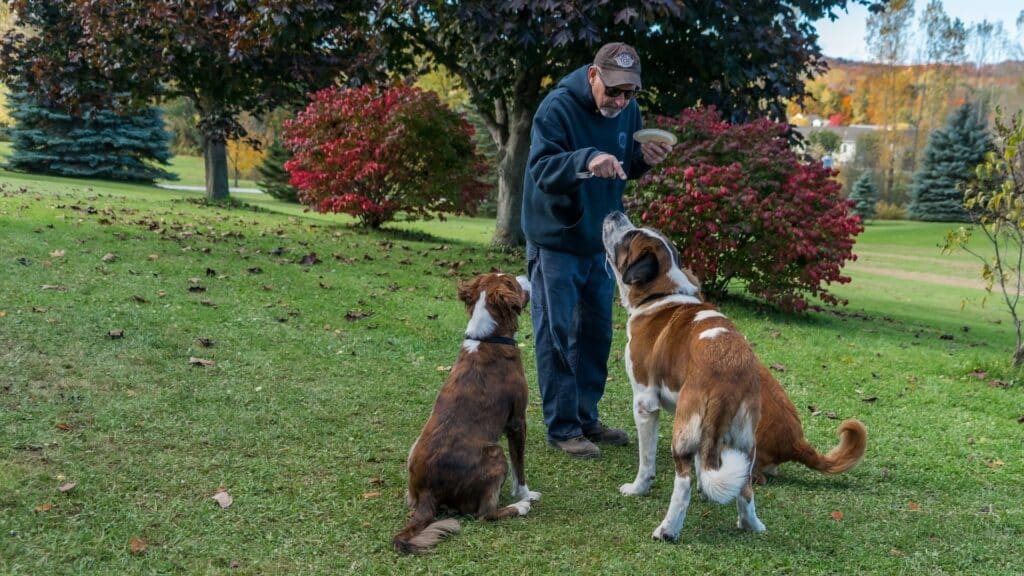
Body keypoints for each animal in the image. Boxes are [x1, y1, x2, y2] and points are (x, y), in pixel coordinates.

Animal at [391, 272, 540, 553]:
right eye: (514, 283)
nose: (527, 275)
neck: (489, 338)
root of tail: (428, 491)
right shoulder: (517, 421)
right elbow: (520, 468)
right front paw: (526, 494)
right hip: (495, 454)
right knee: (485, 514)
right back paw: (519, 507)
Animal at [598, 211, 864, 537]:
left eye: (630, 236)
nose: (615, 213)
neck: (663, 293)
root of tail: (728, 374)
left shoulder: (645, 403)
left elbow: (647, 460)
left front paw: (638, 488)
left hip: (684, 429)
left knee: (683, 481)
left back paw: (668, 530)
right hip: (743, 439)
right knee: (745, 486)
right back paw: (751, 524)